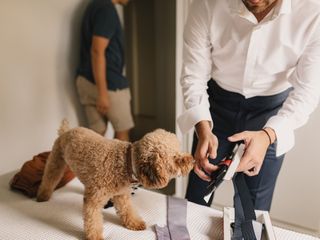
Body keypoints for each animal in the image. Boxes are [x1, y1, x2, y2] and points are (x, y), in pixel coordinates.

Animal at [36, 121, 194, 239]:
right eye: (176, 158)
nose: (192, 160)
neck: (126, 162)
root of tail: (66, 130)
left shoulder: (121, 195)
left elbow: (127, 211)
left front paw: (135, 223)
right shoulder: (93, 201)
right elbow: (93, 221)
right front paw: (95, 237)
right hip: (55, 162)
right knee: (49, 178)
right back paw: (42, 196)